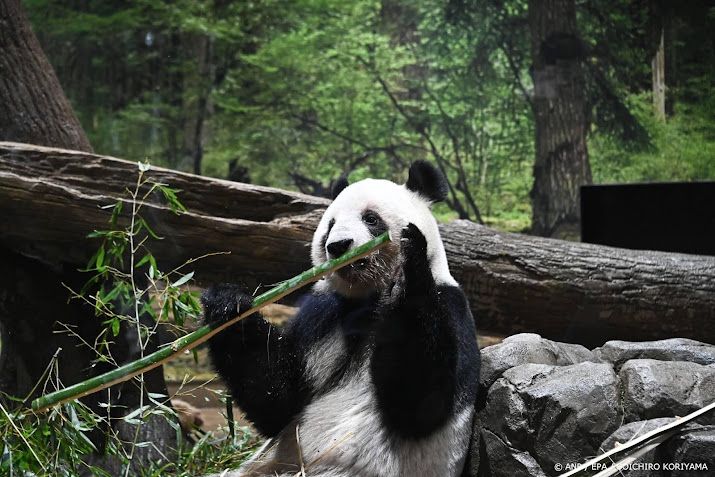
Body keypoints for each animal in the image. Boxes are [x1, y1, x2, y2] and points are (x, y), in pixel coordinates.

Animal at [201, 161, 480, 477]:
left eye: (371, 219)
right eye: (330, 225)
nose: (338, 246)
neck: (367, 298)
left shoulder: (451, 306)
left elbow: (422, 404)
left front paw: (410, 268)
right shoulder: (324, 315)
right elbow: (279, 399)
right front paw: (228, 304)